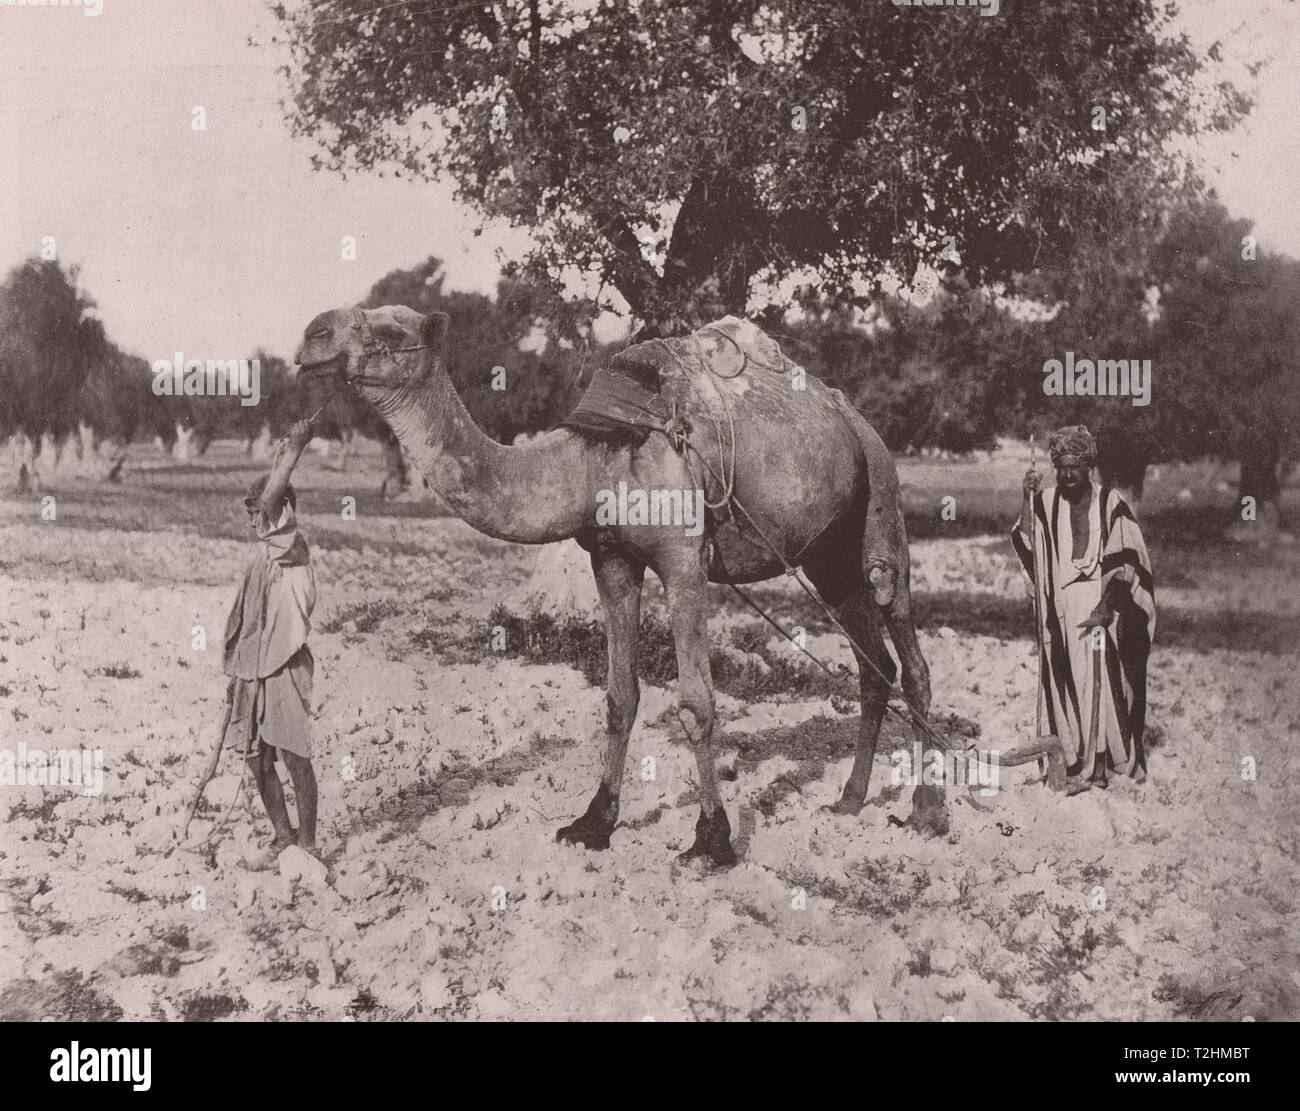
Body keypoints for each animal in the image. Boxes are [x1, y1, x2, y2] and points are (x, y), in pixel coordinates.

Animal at [296, 306, 946, 868]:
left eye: (387, 329)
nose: (311, 334)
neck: (590, 463)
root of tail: (855, 419)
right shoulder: (610, 559)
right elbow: (619, 696)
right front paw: (593, 822)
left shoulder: (684, 557)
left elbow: (696, 703)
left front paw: (712, 840)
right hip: (824, 556)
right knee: (874, 667)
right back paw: (850, 800)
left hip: (880, 501)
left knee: (905, 640)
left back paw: (925, 812)